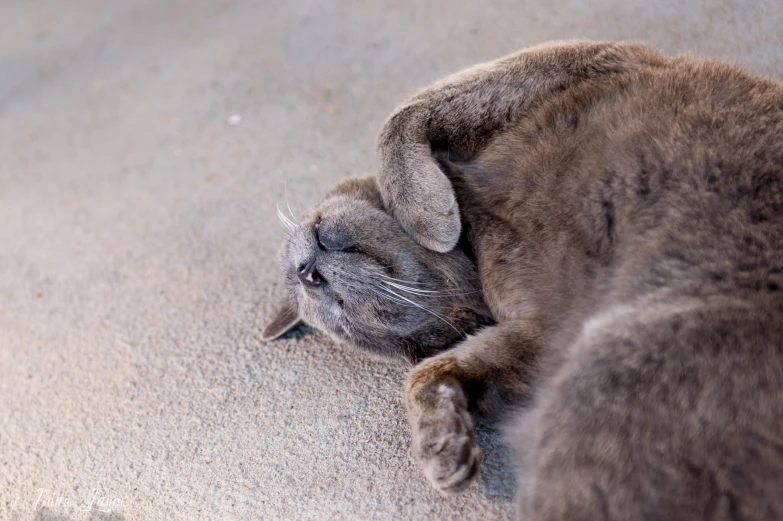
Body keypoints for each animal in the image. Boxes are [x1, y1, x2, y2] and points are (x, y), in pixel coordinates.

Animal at [264, 41, 783, 520]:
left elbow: (403, 114)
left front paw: (430, 217)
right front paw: (442, 447)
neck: (478, 238)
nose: (307, 273)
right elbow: (429, 370)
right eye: (344, 313)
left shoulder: (573, 60)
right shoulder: (543, 332)